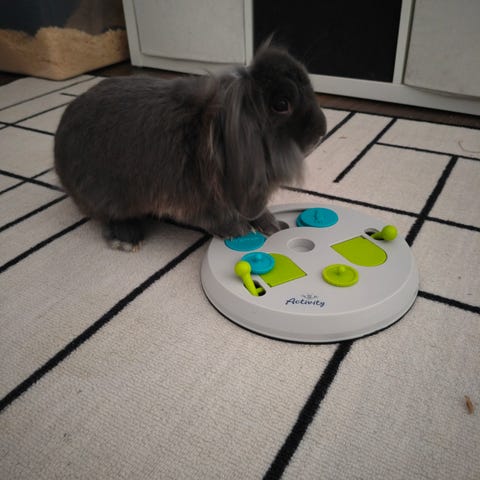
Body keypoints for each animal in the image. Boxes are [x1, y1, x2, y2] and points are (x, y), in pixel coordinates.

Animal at [54, 45, 327, 251]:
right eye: (281, 104)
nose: (322, 131)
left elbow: (258, 212)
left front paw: (276, 226)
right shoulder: (200, 199)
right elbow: (220, 218)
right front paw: (239, 233)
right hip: (106, 194)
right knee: (108, 216)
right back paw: (128, 238)